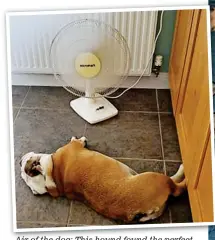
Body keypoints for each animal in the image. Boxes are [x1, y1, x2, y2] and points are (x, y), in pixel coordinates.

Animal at [20, 136, 186, 224]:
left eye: (23, 164)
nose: (20, 160)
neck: (54, 174)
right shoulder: (72, 146)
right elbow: (76, 141)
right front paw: (80, 139)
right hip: (157, 178)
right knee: (178, 187)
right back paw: (183, 170)